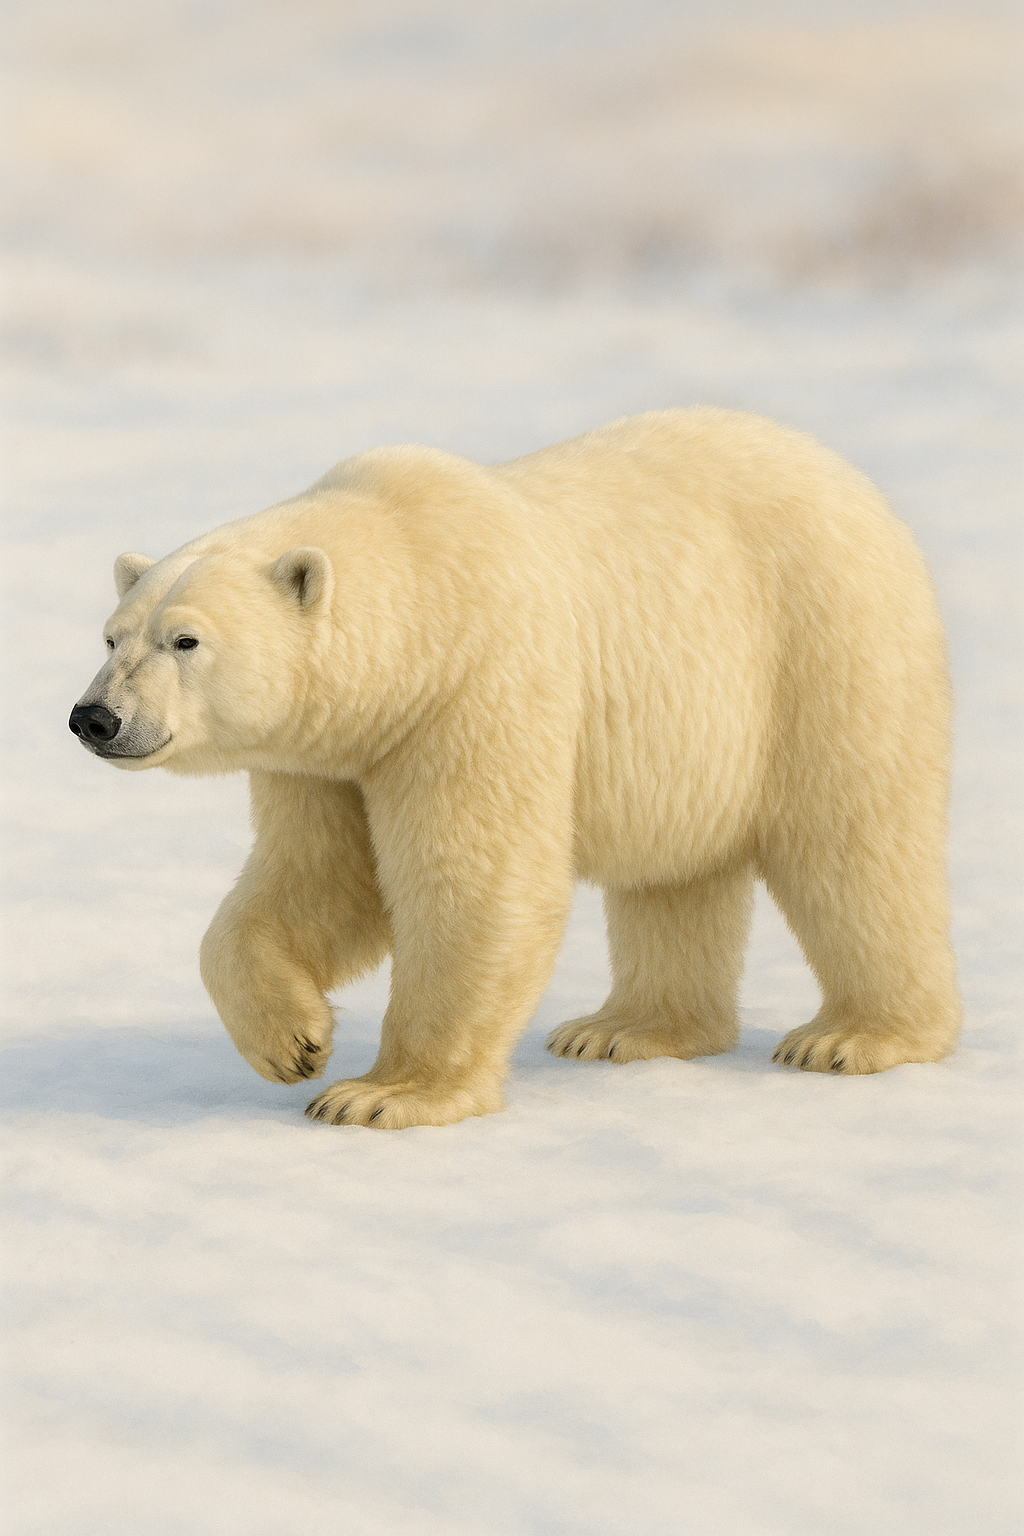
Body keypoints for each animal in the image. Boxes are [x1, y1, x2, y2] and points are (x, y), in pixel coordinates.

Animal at [70, 409, 961, 1128]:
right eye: (112, 635)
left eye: (185, 640)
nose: (95, 718)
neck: (421, 597)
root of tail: (849, 479)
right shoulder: (330, 752)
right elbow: (318, 879)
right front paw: (293, 1041)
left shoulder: (475, 687)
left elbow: (473, 884)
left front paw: (382, 1094)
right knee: (675, 875)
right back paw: (625, 1029)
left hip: (823, 646)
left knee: (852, 847)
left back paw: (855, 1037)